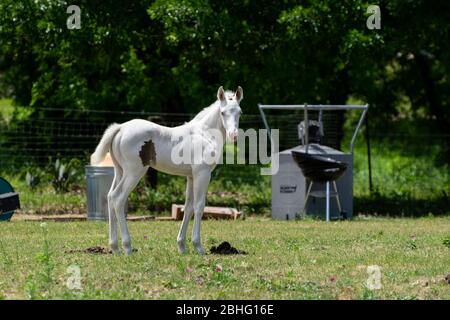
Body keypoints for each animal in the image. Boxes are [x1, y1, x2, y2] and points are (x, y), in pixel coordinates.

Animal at [90, 86, 243, 256]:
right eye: (223, 112)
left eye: (240, 112)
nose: (234, 135)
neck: (204, 134)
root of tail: (120, 128)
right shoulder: (202, 174)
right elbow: (199, 206)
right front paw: (198, 246)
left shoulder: (191, 176)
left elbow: (188, 207)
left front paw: (182, 246)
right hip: (134, 172)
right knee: (118, 198)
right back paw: (127, 247)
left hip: (120, 171)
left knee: (110, 197)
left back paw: (115, 248)